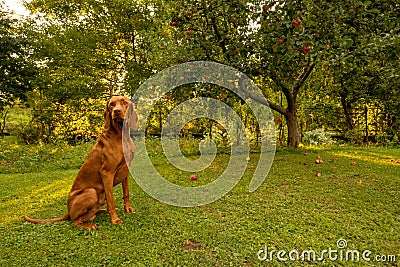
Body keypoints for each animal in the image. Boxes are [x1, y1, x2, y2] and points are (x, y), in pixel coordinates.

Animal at [24, 96, 139, 230]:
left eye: (124, 102)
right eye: (111, 104)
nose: (116, 111)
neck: (121, 136)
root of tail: (69, 212)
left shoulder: (125, 170)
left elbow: (126, 192)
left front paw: (127, 208)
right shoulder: (107, 173)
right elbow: (112, 201)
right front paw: (115, 219)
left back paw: (100, 212)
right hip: (91, 192)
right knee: (75, 221)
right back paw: (90, 226)